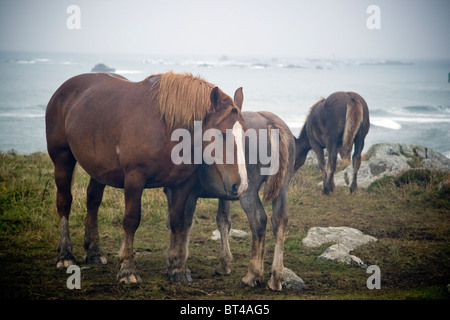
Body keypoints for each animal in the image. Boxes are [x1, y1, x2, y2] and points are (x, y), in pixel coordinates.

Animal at [45, 70, 248, 282]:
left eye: (245, 134)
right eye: (222, 134)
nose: (240, 185)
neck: (166, 129)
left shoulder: (183, 184)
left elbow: (178, 221)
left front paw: (177, 268)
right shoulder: (135, 179)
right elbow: (131, 220)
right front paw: (127, 268)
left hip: (99, 169)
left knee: (93, 201)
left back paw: (94, 251)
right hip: (63, 159)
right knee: (64, 202)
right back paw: (65, 255)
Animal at [165, 87, 296, 290]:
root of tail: (272, 124)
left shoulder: (184, 192)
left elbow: (182, 221)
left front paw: (177, 262)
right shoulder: (226, 192)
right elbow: (223, 221)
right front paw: (224, 263)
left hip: (248, 192)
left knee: (259, 220)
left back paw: (252, 274)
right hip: (281, 190)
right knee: (279, 221)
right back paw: (276, 277)